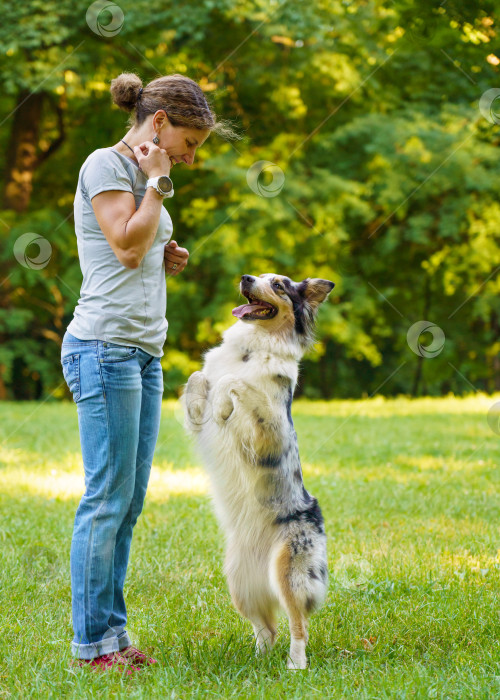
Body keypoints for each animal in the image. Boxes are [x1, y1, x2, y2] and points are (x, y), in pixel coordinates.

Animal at [182, 272, 334, 668]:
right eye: (260, 276)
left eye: (279, 285)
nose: (246, 278)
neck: (251, 347)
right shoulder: (200, 412)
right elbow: (199, 377)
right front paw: (204, 403)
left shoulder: (270, 433)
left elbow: (234, 383)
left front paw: (223, 406)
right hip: (239, 581)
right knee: (268, 629)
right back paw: (257, 660)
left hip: (290, 571)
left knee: (298, 625)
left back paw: (296, 665)